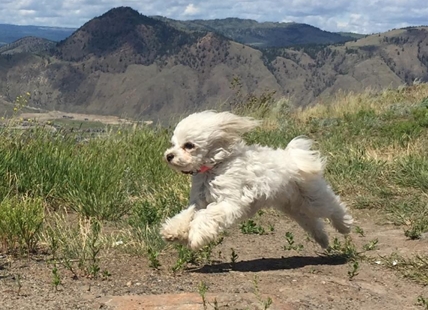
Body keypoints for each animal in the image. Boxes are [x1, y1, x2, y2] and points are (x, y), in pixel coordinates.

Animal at [159, 110, 352, 251]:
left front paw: (196, 236)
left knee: (333, 207)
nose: (169, 156)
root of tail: (294, 157)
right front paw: (173, 231)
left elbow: (206, 215)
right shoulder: (199, 201)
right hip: (294, 207)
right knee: (313, 223)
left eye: (189, 145)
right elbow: (186, 215)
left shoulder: (230, 202)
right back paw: (323, 240)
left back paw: (345, 225)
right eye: (173, 144)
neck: (215, 167)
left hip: (312, 198)